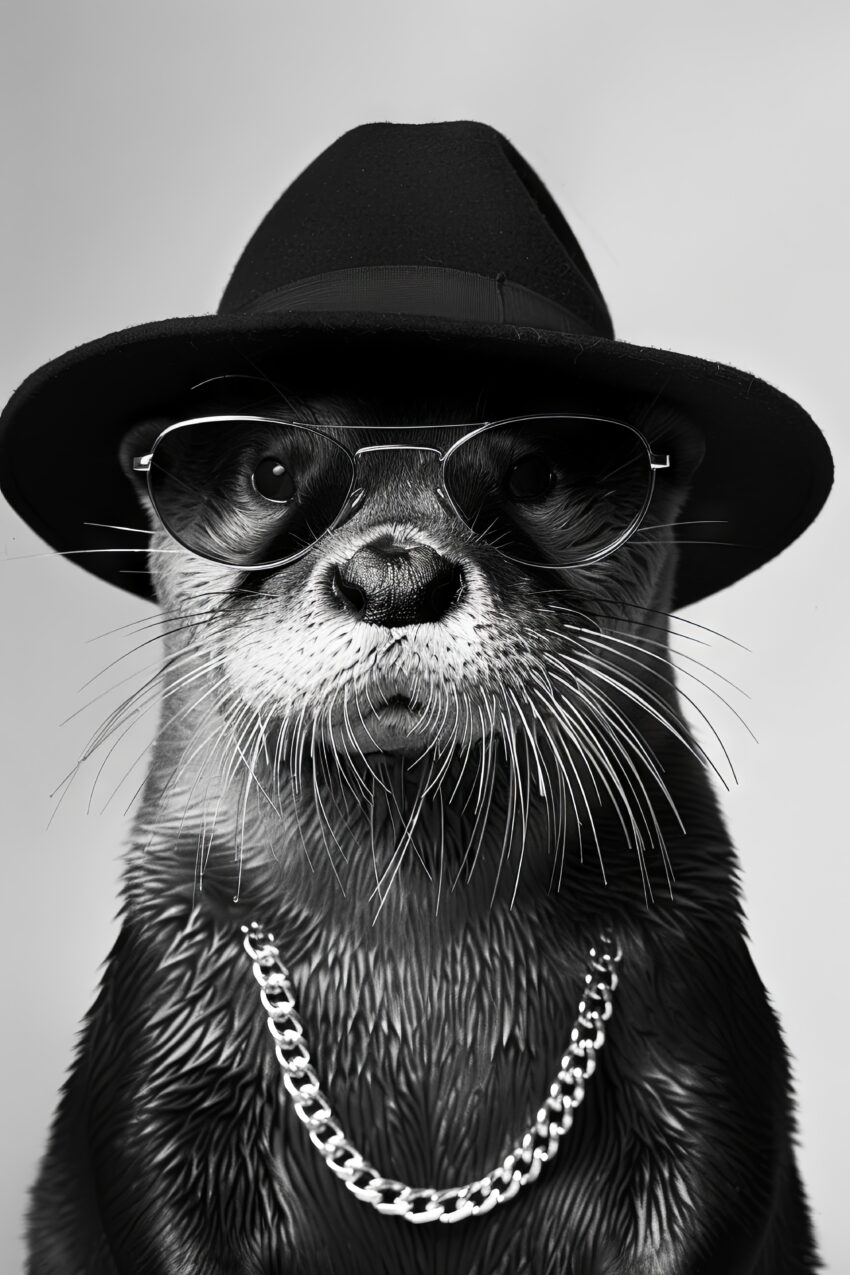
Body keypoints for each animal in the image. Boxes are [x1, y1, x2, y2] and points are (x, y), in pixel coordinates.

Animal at [23, 362, 819, 1275]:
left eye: (535, 473)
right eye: (272, 473)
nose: (393, 577)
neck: (418, 973)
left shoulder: (698, 1037)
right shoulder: (169, 1047)